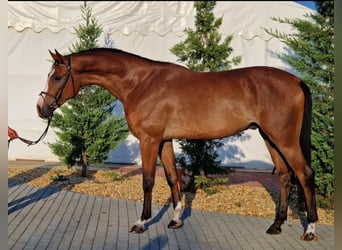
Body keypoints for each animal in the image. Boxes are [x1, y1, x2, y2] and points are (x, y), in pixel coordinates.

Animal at [36, 47, 318, 241]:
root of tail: (295, 80)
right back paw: (276, 225)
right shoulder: (165, 140)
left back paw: (310, 229)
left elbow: (148, 180)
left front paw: (141, 222)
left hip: (284, 139)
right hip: (270, 139)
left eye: (58, 77)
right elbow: (172, 177)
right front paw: (175, 220)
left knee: (305, 174)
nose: (41, 108)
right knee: (285, 176)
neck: (141, 83)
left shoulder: (149, 140)